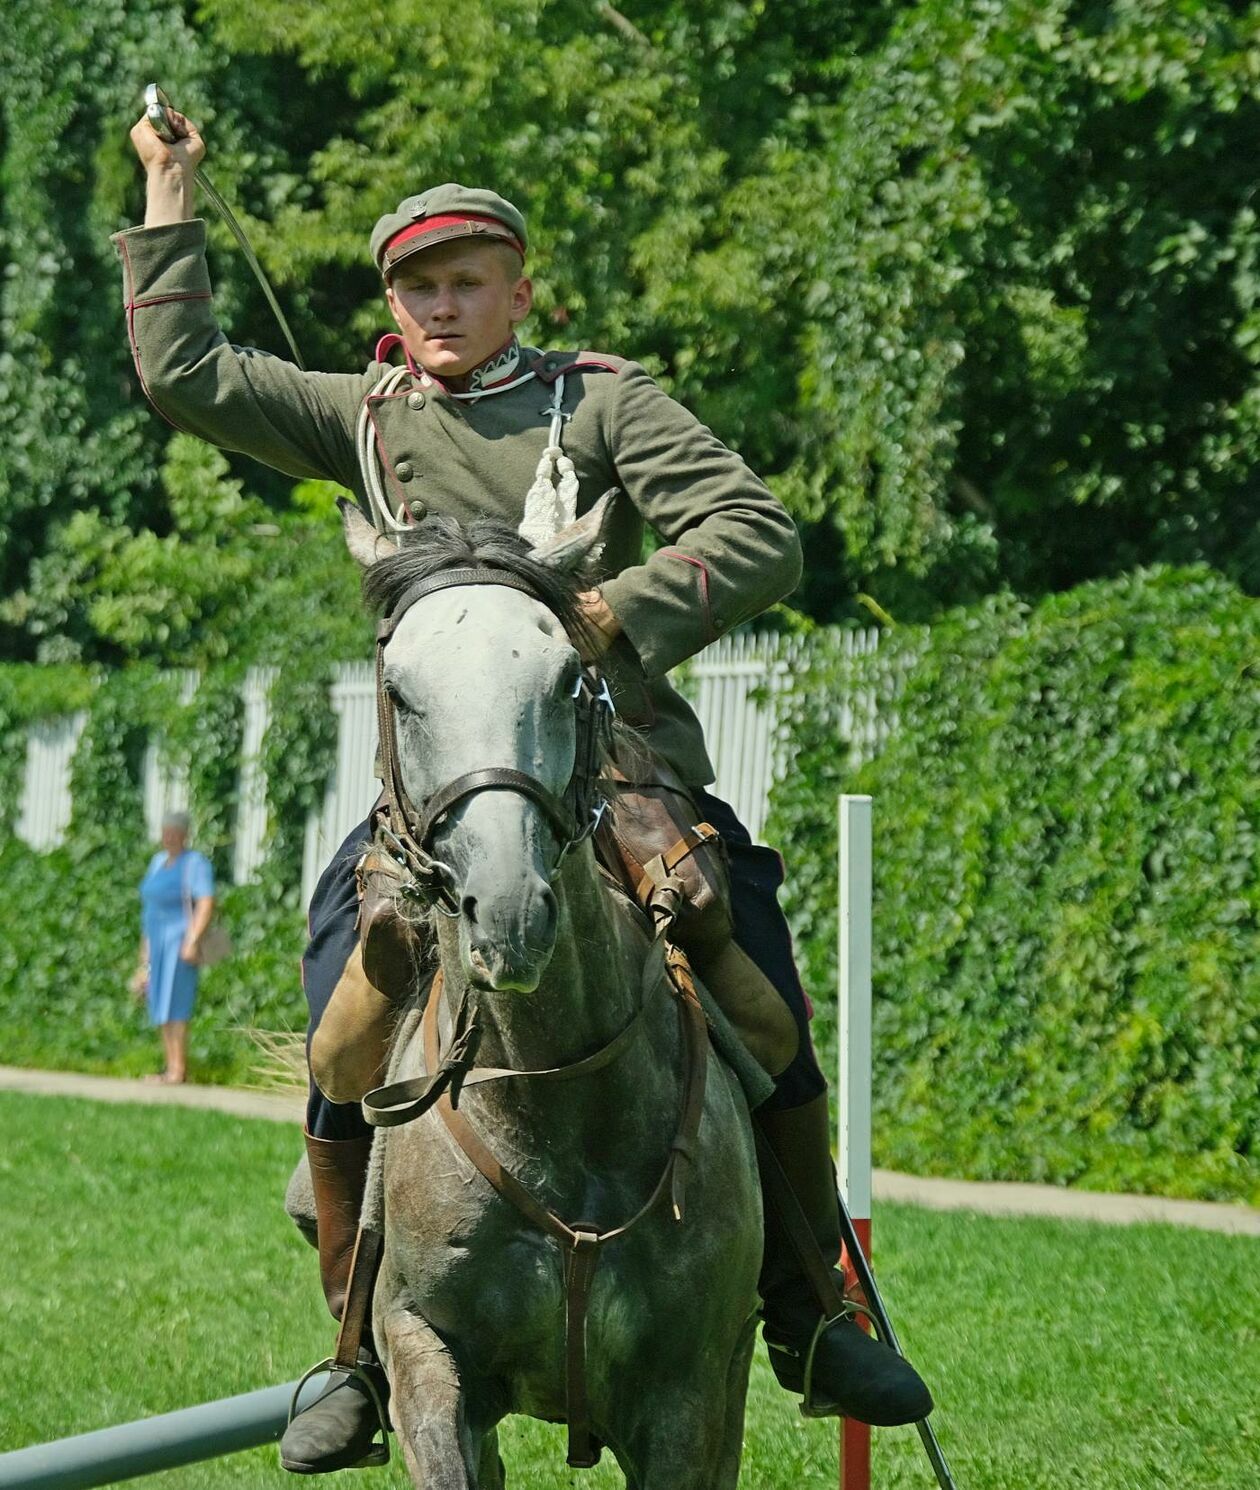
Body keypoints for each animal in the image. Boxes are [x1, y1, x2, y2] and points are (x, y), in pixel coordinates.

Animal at [341, 503, 762, 1490]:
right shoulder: (425, 1360)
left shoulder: (688, 1397)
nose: (508, 911)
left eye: (571, 678)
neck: (552, 1094)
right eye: (398, 691)